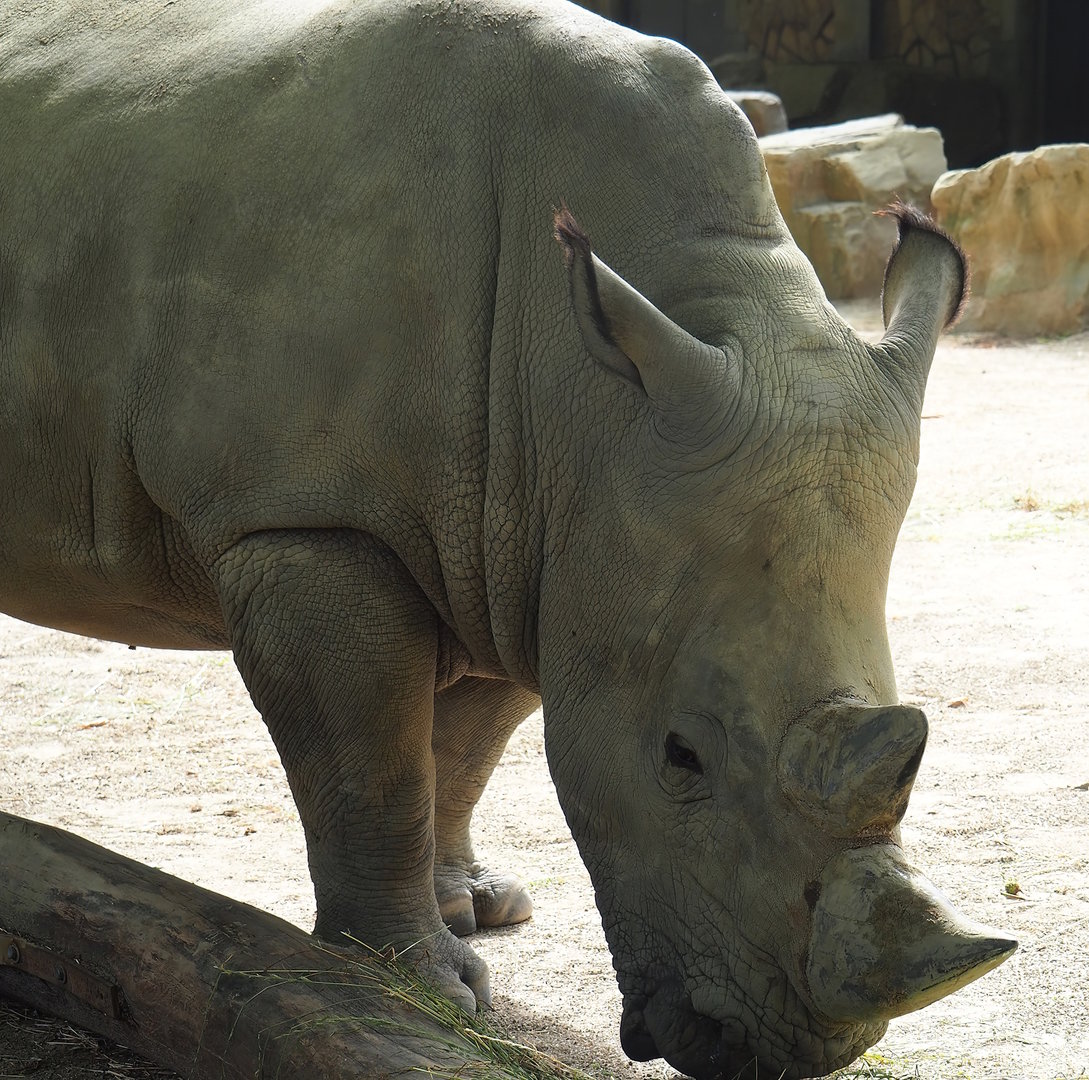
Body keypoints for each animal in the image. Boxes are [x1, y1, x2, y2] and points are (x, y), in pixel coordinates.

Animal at [0, 0, 1015, 1075]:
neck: (586, 406)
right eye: (680, 758)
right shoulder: (307, 516)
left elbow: (463, 749)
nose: (795, 1051)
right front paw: (420, 981)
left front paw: (474, 911)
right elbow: (373, 763)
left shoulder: (531, 542)